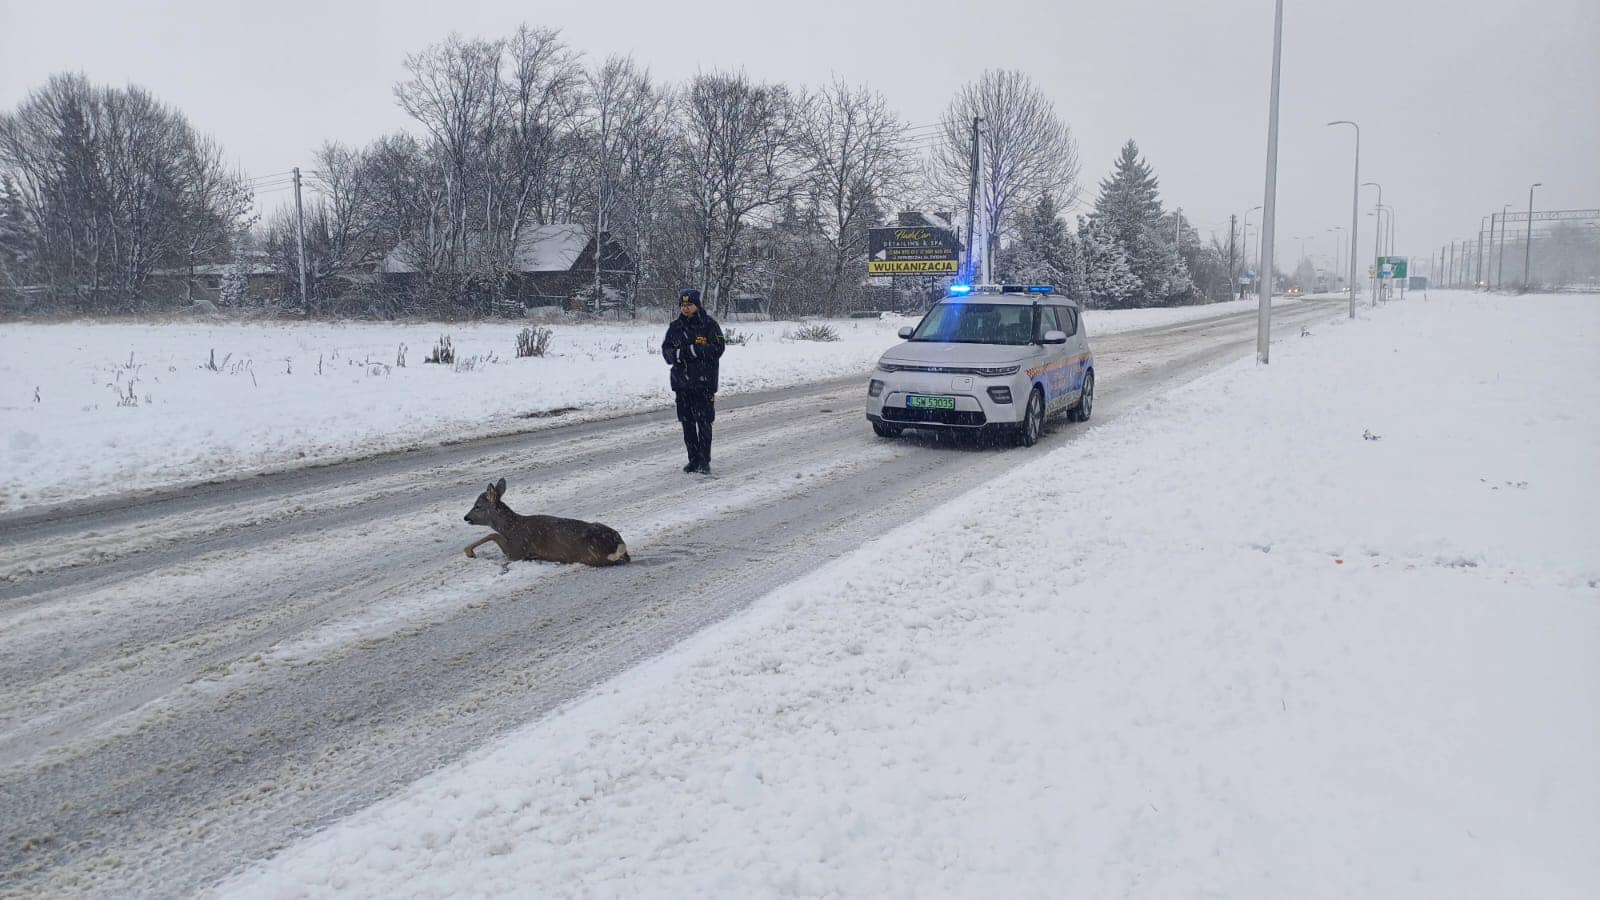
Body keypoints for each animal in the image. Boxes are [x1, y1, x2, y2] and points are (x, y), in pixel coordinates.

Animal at [460, 477, 627, 560]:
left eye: (477, 506)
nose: (465, 517)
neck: (511, 527)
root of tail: (617, 545)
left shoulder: (517, 550)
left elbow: (493, 534)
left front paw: (469, 551)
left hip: (587, 556)